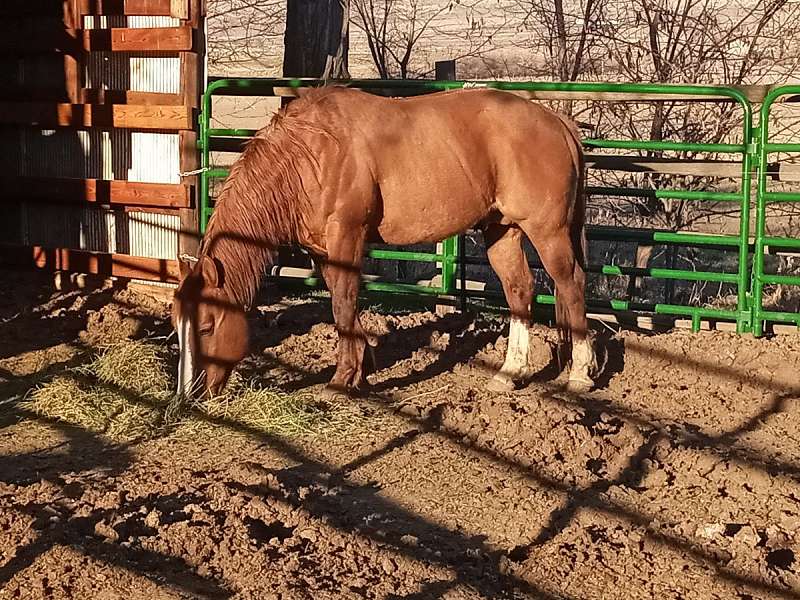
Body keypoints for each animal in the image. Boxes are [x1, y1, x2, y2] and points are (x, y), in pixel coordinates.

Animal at [172, 86, 599, 400]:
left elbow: (344, 304)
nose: (191, 395)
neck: (312, 155)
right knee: (519, 290)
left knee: (571, 286)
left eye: (206, 326)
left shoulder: (346, 237)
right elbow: (340, 304)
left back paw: (579, 375)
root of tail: (557, 122)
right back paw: (510, 372)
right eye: (178, 328)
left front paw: (342, 379)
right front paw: (359, 370)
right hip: (501, 230)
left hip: (547, 231)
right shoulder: (324, 250)